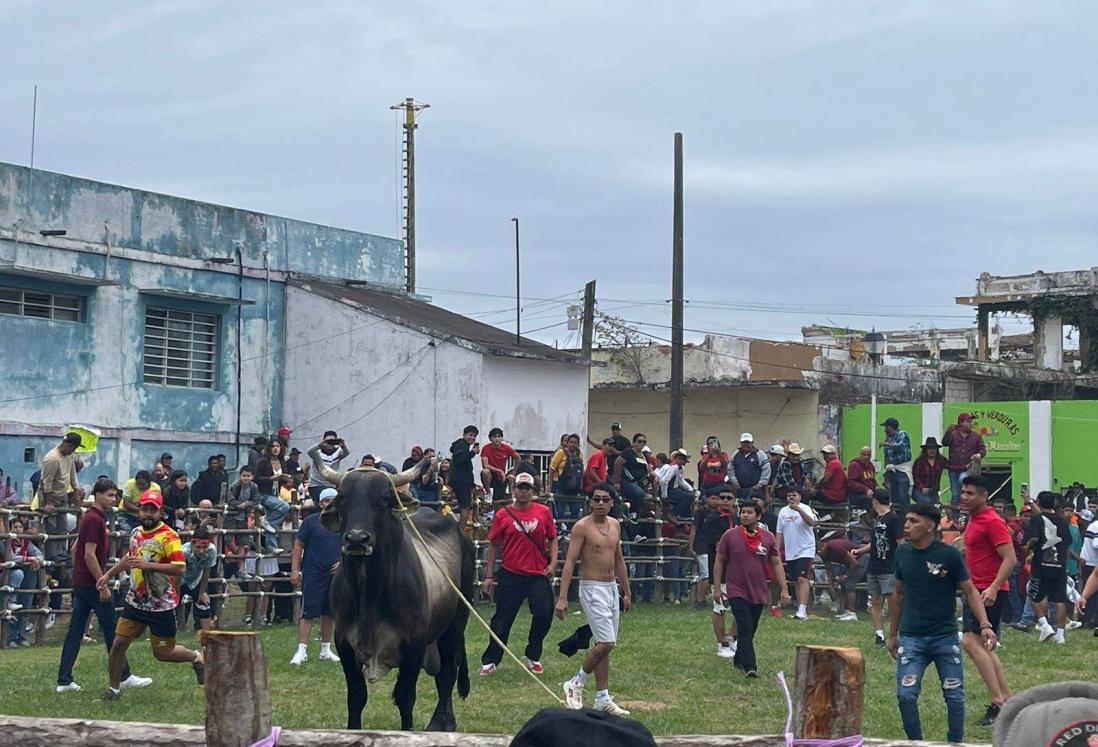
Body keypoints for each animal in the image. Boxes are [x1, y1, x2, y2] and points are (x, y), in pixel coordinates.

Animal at [311, 443, 478, 729]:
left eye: (385, 499)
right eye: (343, 497)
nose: (357, 539)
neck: (370, 591)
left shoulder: (413, 646)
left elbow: (405, 697)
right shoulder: (344, 644)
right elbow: (356, 697)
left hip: (456, 623)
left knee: (447, 672)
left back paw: (442, 722)